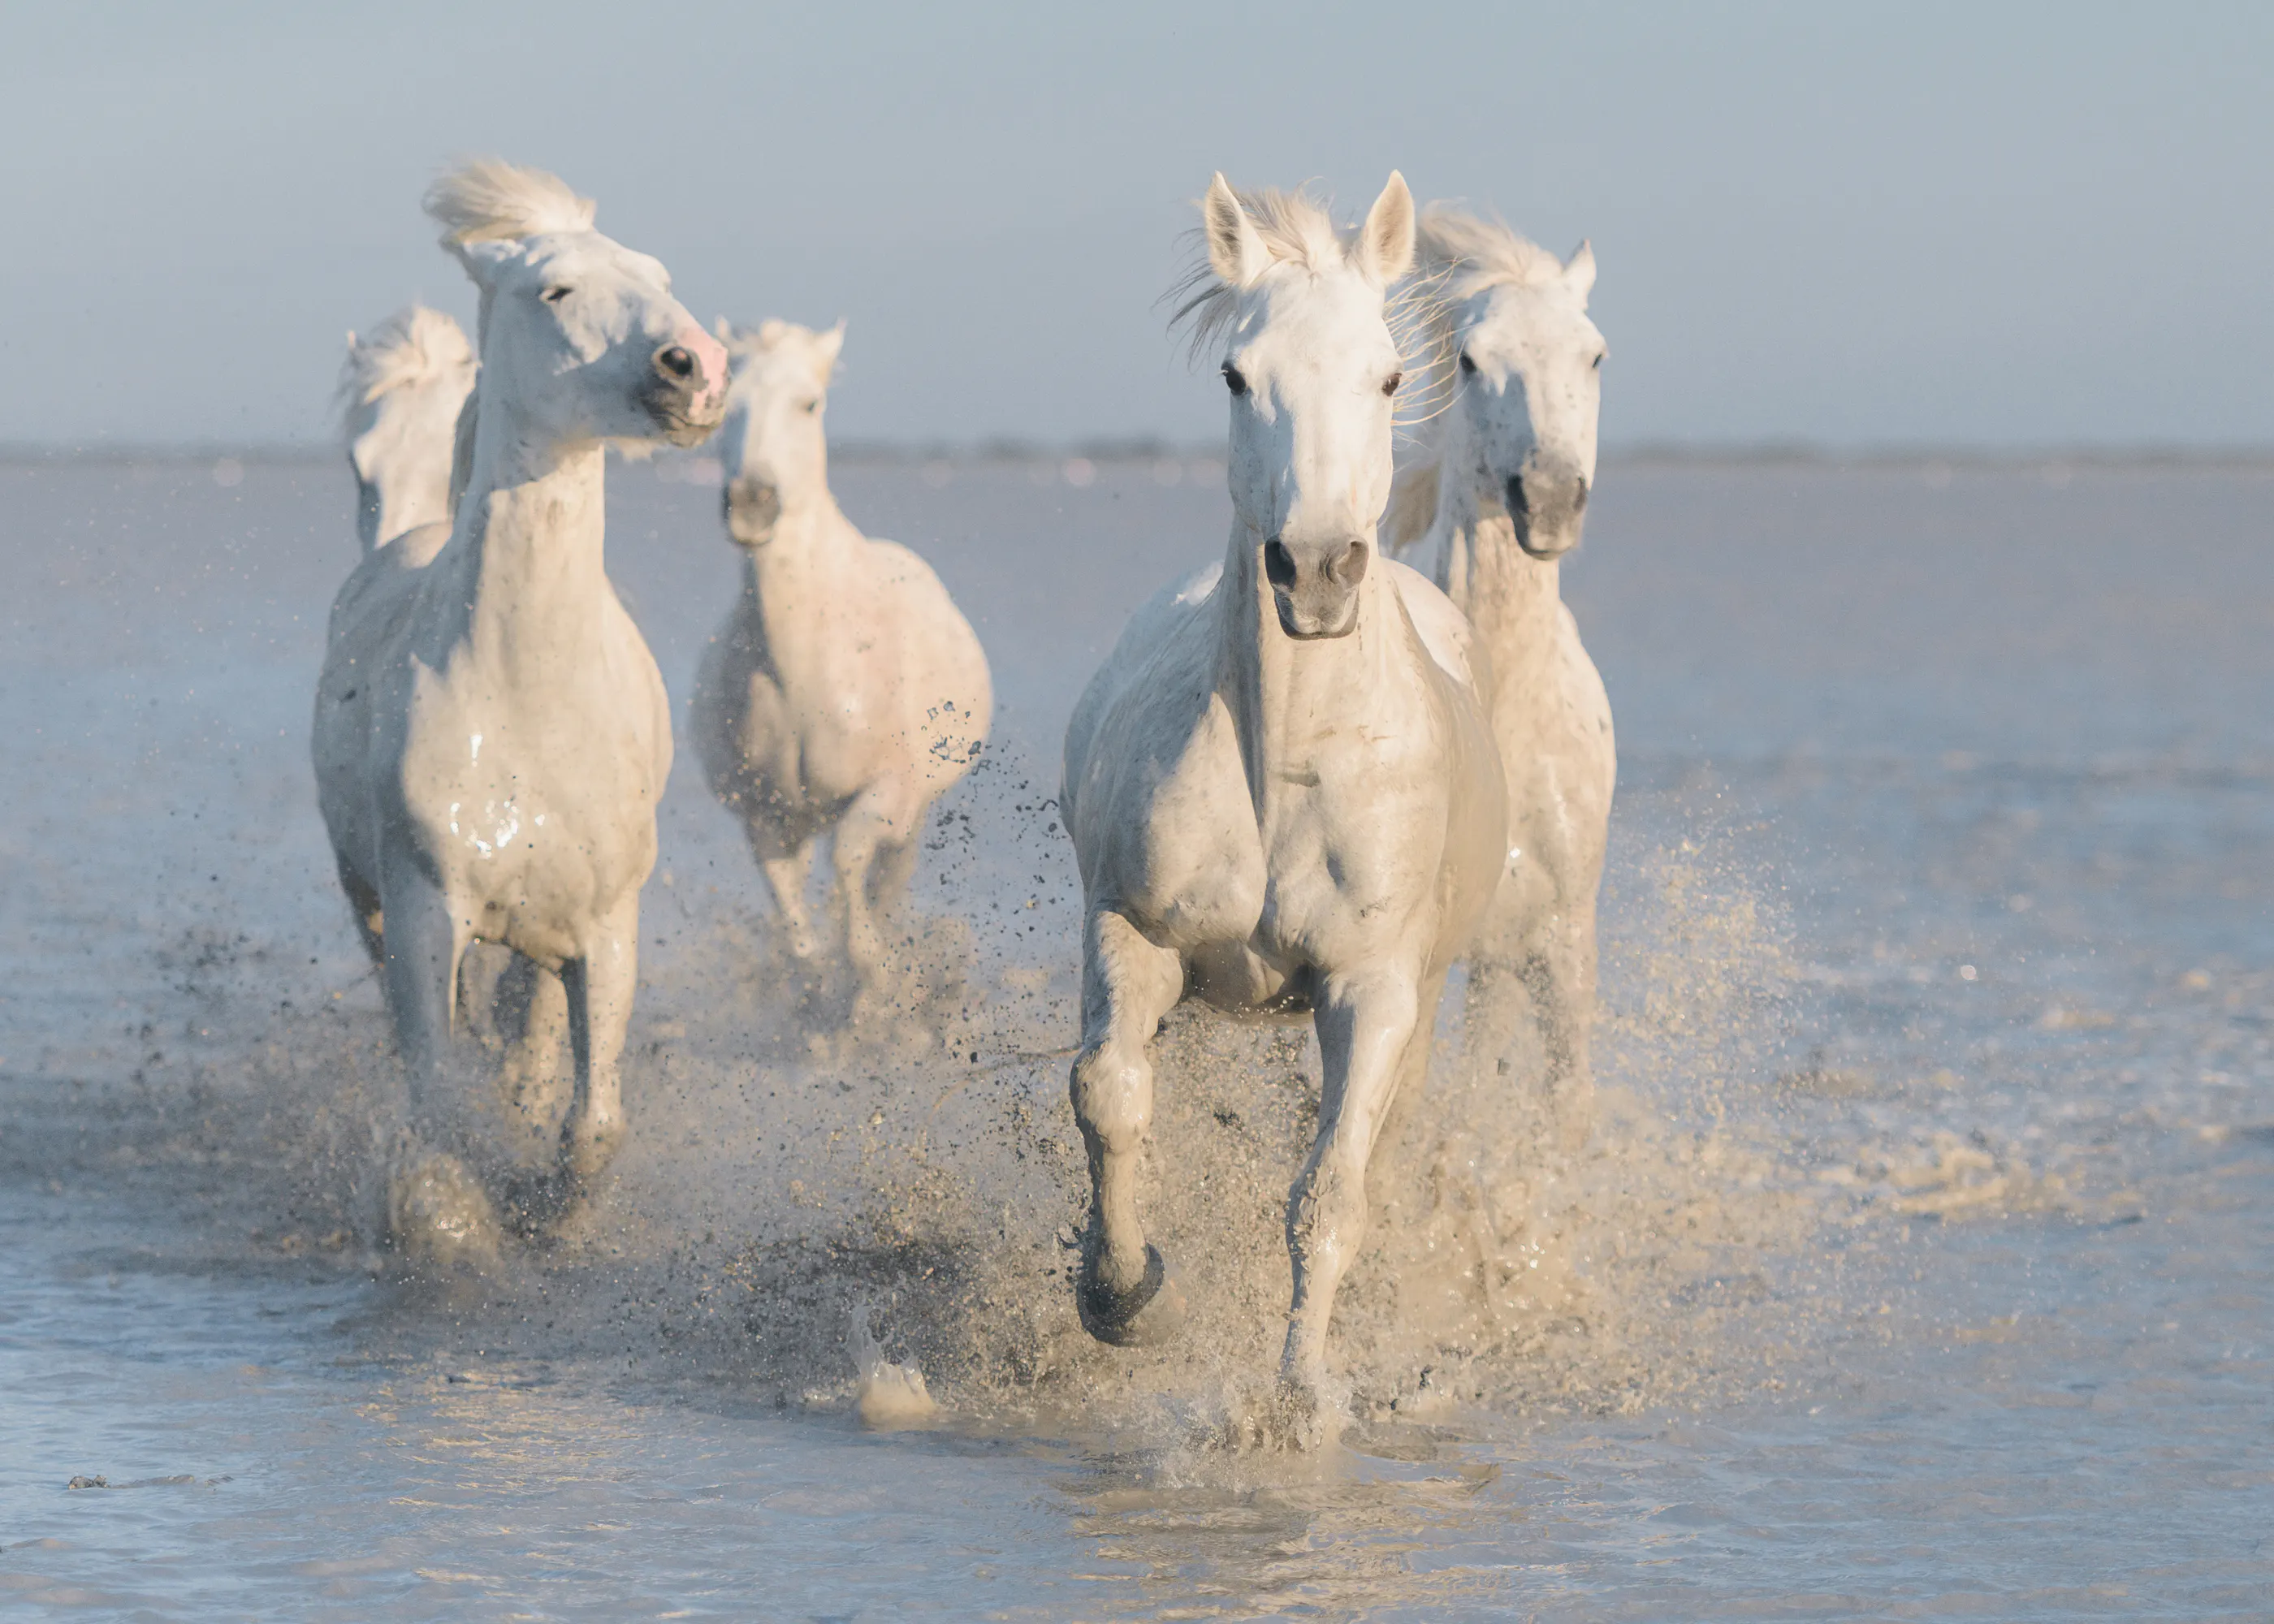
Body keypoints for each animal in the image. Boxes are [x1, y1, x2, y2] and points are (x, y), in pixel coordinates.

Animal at [312, 160, 728, 1255]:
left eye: (657, 274)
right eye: (556, 289)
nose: (699, 368)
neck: (525, 699)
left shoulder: (605, 928)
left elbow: (592, 1121)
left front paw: (550, 1207)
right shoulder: (424, 913)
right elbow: (437, 1110)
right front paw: (459, 1216)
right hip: (367, 896)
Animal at [690, 318, 992, 1021]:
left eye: (810, 404)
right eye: (723, 403)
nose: (752, 503)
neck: (808, 666)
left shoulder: (890, 792)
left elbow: (854, 864)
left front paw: (876, 986)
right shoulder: (766, 815)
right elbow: (797, 926)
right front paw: (817, 995)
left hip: (915, 813)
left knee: (885, 878)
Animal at [1060, 173, 1507, 1440]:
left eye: (1389, 377)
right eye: (1235, 375)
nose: (1314, 572)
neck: (1290, 764)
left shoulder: (1372, 987)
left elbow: (1328, 1193)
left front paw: (1301, 1398)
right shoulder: (1132, 930)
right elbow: (1109, 1094)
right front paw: (1125, 1294)